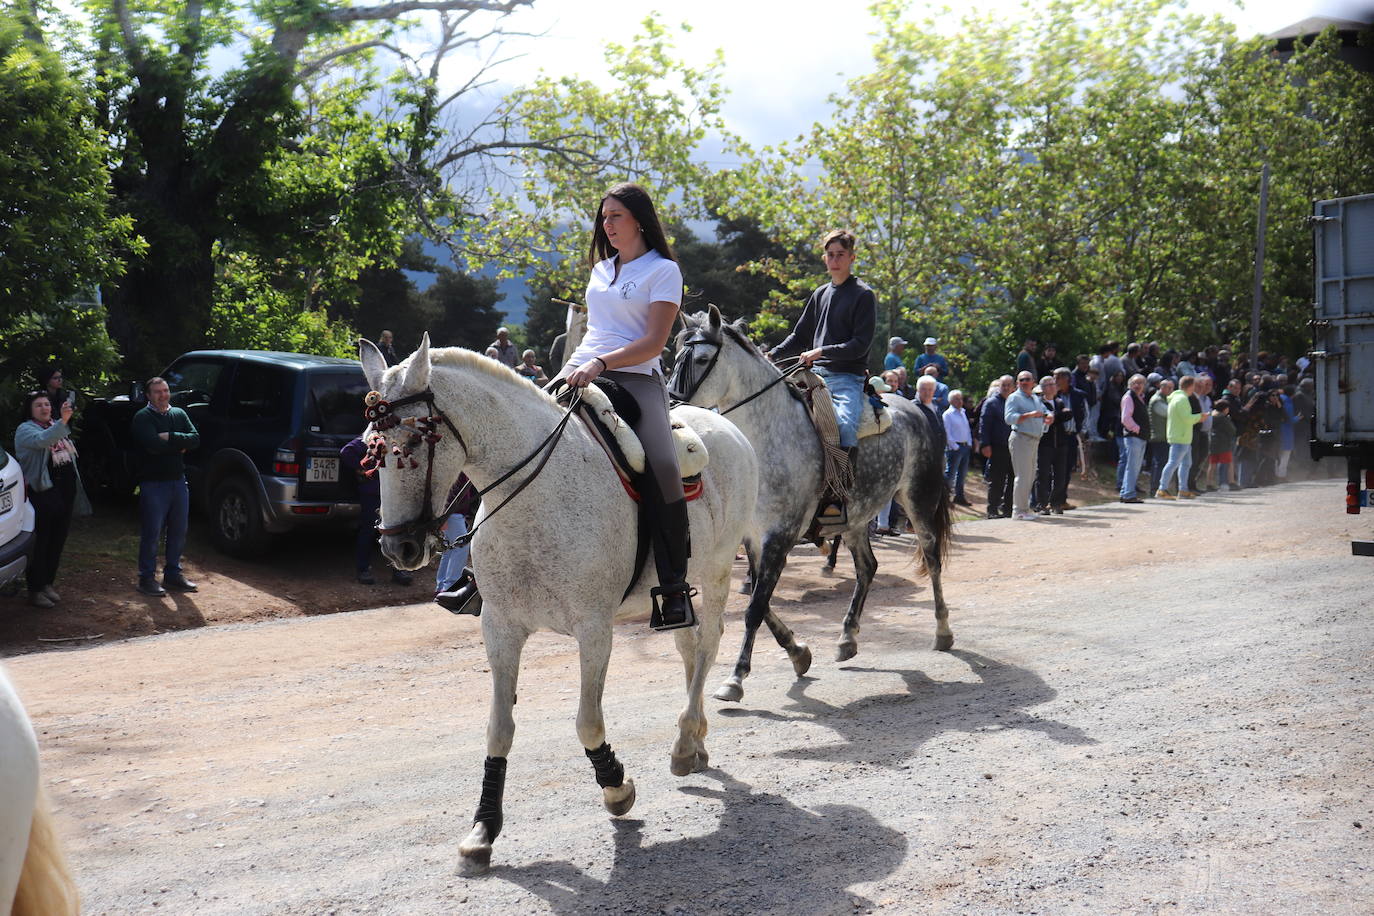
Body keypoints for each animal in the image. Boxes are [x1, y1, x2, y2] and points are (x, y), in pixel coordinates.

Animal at [359, 335, 758, 873]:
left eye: (417, 443)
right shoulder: (501, 628)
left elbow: (588, 723)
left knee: (710, 643)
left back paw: (685, 739)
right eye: (373, 448)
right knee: (689, 649)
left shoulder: (595, 630)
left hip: (715, 574)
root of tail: (727, 426)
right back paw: (694, 745)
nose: (398, 548)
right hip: (681, 590)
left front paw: (616, 789)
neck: (533, 495)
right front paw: (483, 829)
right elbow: (499, 728)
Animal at [667, 307, 956, 703]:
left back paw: (942, 632)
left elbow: (756, 607)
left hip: (918, 501)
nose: (670, 406)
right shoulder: (752, 537)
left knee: (932, 558)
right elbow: (760, 600)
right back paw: (847, 638)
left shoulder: (781, 535)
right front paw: (798, 652)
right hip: (856, 519)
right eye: (674, 357)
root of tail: (918, 409)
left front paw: (736, 678)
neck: (767, 439)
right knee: (867, 567)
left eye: (700, 359)